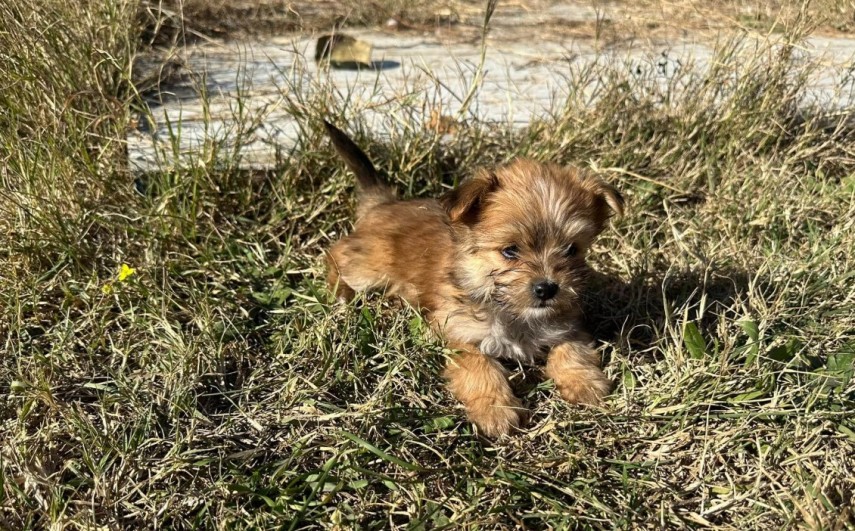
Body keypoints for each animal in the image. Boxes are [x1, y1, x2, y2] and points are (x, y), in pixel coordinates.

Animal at [324, 122, 624, 438]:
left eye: (571, 249)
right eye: (510, 251)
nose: (547, 288)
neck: (513, 312)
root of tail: (384, 203)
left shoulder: (568, 324)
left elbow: (572, 349)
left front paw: (584, 383)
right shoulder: (457, 333)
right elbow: (480, 365)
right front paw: (496, 409)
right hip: (370, 265)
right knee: (336, 253)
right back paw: (341, 292)